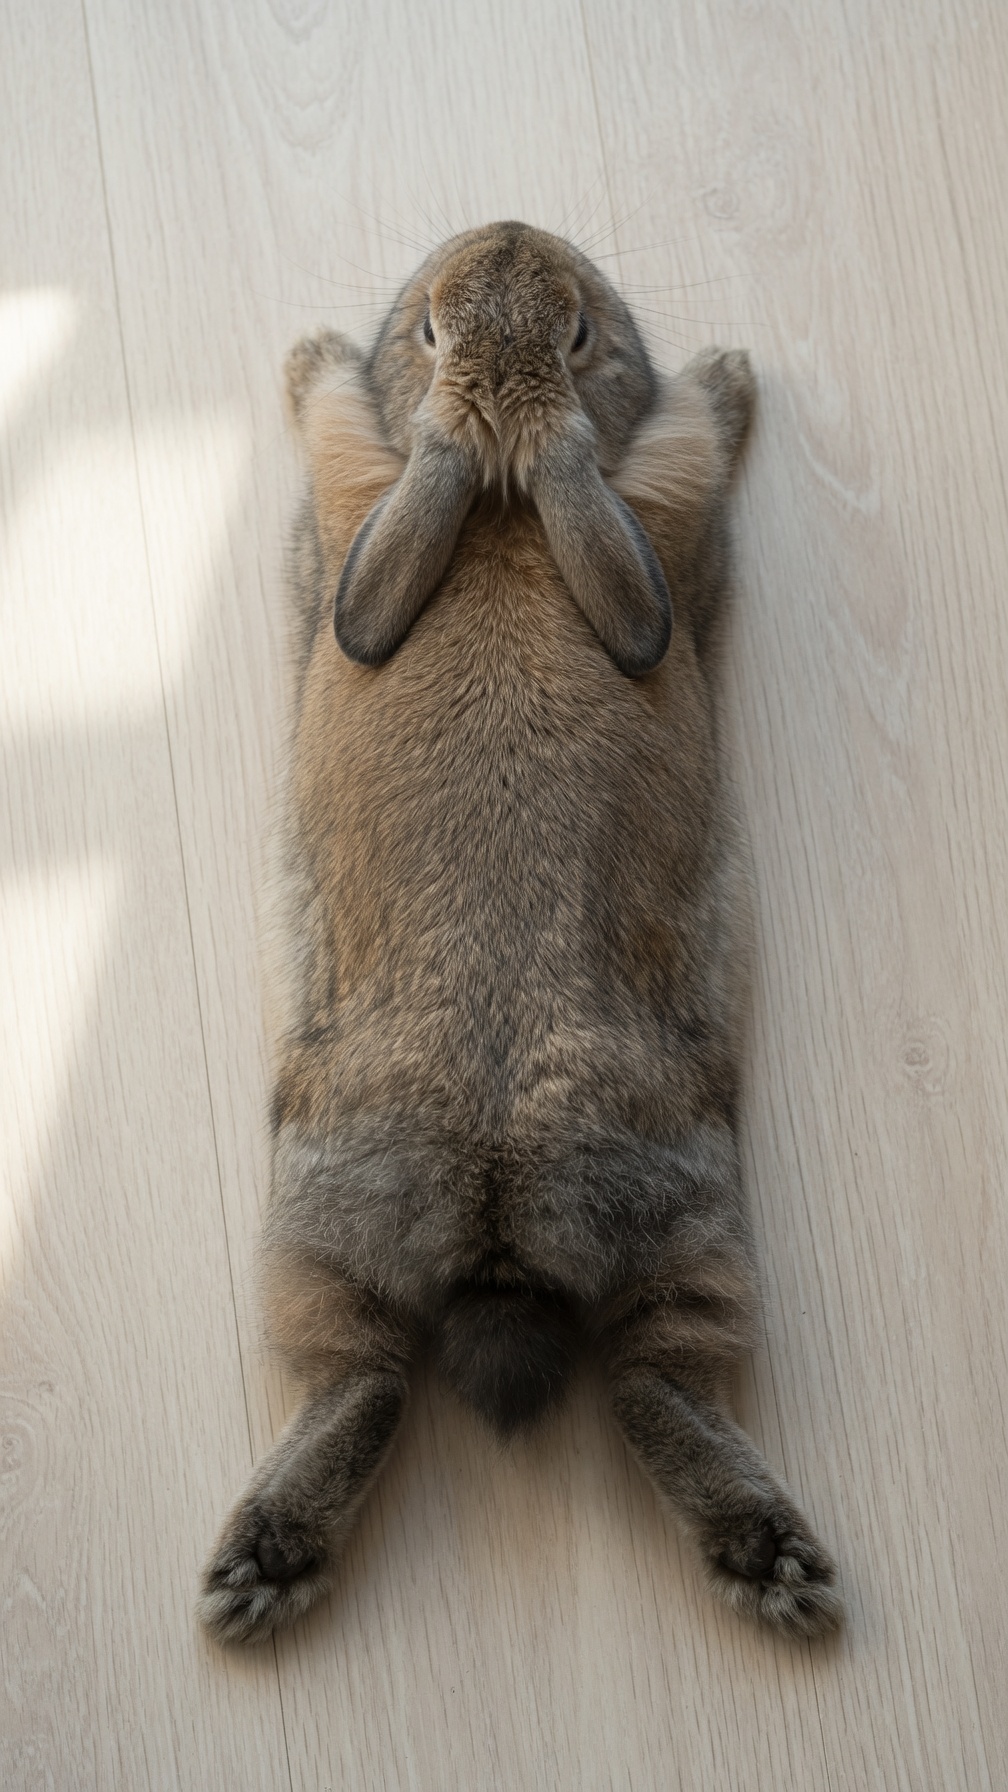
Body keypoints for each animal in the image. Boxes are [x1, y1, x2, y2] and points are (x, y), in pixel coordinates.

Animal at [198, 220, 842, 1646]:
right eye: (431, 329)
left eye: (581, 326)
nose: (508, 231)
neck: (498, 487)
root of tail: (498, 1181)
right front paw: (312, 357)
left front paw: (726, 374)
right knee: (456, 1370)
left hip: (629, 1199)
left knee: (557, 1372)